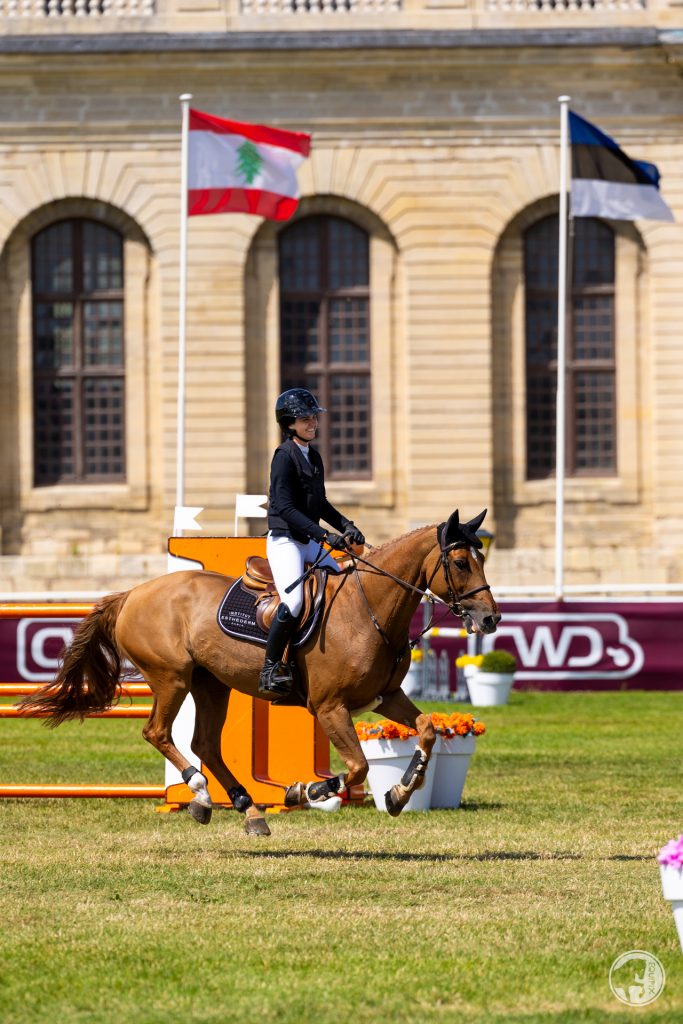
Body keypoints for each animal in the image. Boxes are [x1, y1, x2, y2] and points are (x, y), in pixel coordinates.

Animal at [20, 507, 497, 835]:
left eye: (482, 559)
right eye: (460, 563)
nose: (491, 618)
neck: (368, 609)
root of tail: (134, 593)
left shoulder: (385, 697)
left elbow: (427, 729)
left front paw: (400, 792)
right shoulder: (330, 708)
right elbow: (358, 766)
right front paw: (305, 791)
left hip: (211, 685)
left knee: (205, 744)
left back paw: (246, 809)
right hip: (172, 679)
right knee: (159, 733)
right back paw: (200, 794)